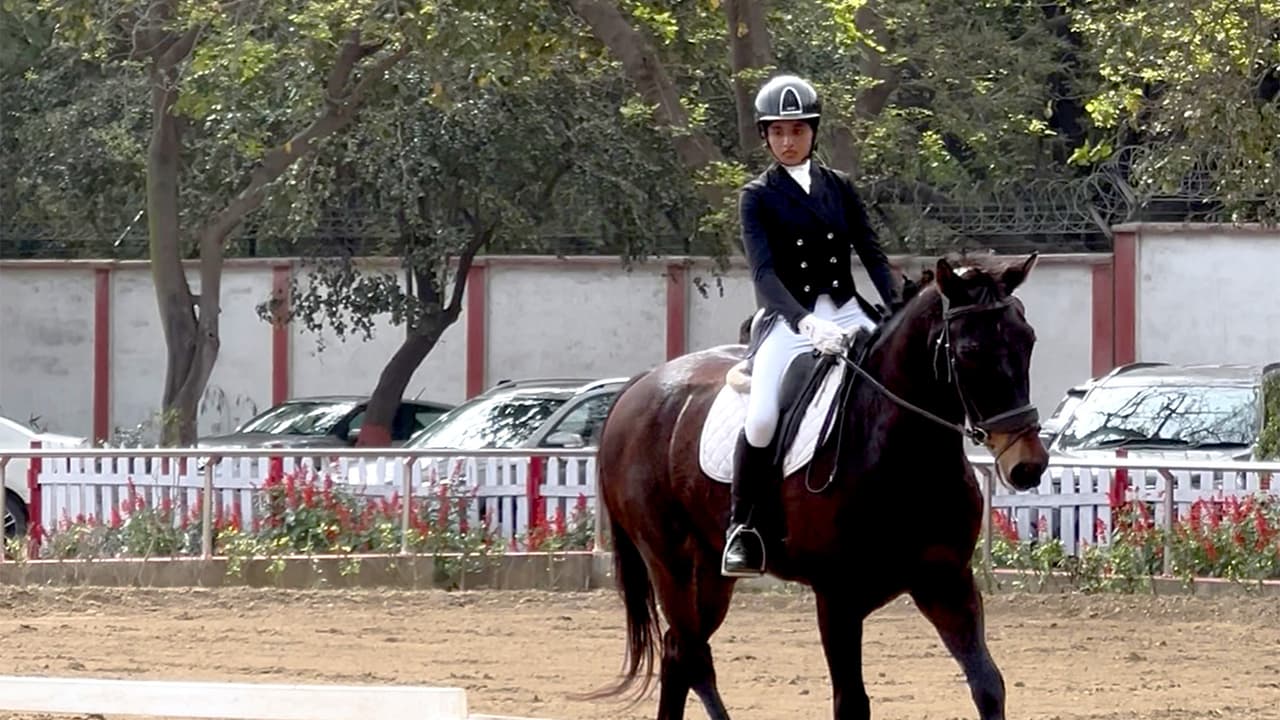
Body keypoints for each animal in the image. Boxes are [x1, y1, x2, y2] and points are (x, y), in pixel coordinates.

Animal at [586, 253, 1049, 719]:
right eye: (970, 351)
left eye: (1028, 339)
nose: (1027, 465)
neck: (902, 455)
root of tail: (640, 384)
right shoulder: (837, 598)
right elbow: (851, 702)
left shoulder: (947, 582)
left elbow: (988, 685)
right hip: (669, 561)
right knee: (691, 654)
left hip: (711, 569)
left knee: (678, 652)